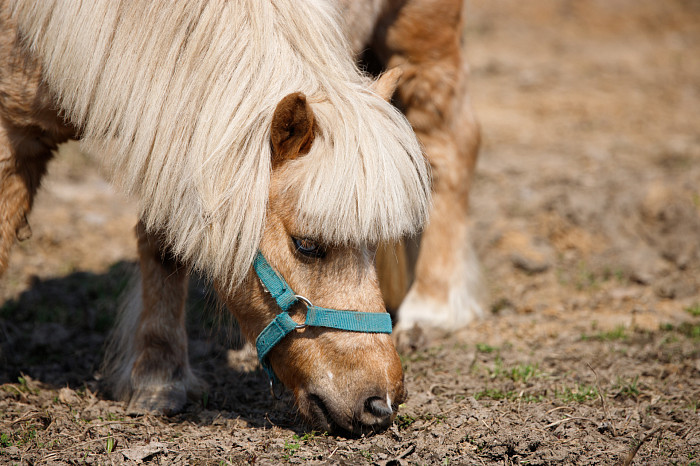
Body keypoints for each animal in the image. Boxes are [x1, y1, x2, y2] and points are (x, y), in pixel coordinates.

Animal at [0, 0, 482, 436]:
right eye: (307, 245)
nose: (381, 403)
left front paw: (158, 376)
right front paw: (158, 377)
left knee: (451, 144)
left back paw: (432, 305)